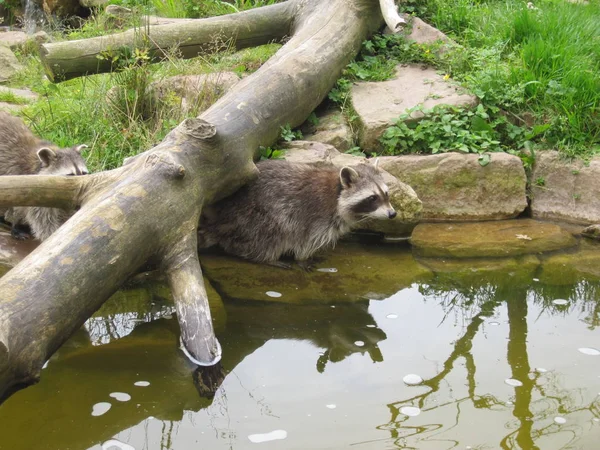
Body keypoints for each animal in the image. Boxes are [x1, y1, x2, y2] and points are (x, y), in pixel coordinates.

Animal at [200, 159, 398, 268]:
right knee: (272, 233)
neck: (336, 192)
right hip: (254, 218)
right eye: (372, 198)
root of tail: (221, 220)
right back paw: (267, 258)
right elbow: (305, 240)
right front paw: (302, 259)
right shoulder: (314, 217)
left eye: (386, 194)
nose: (392, 214)